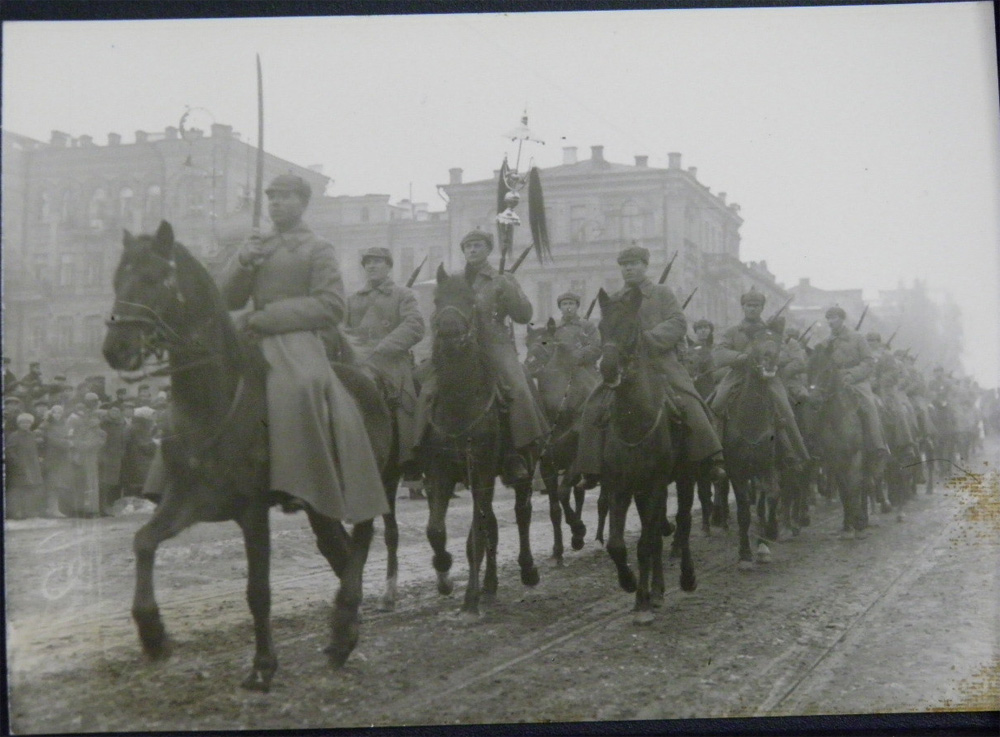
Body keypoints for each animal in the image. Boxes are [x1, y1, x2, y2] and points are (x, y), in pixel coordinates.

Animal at [101, 220, 396, 688]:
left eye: (152, 278)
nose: (115, 349)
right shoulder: (188, 499)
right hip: (320, 503)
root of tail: (367, 380)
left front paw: (262, 665)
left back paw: (344, 622)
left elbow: (258, 590)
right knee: (342, 550)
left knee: (362, 542)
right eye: (117, 280)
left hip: (363, 484)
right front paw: (152, 633)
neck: (213, 401)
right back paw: (344, 631)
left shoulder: (252, 510)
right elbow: (143, 541)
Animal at [418, 264, 540, 616]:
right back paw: (490, 585)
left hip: (526, 465)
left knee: (521, 513)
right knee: (494, 525)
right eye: (436, 299)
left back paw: (526, 570)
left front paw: (470, 597)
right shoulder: (441, 471)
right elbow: (436, 529)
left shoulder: (482, 470)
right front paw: (445, 572)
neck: (460, 403)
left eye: (471, 301)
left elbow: (478, 532)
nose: (447, 331)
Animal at [524, 318, 592, 564]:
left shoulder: (576, 461)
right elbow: (555, 507)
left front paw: (579, 529)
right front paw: (558, 549)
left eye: (546, 341)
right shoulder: (547, 467)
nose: (529, 364)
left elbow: (563, 494)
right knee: (579, 493)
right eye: (527, 343)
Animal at [592, 286, 696, 620]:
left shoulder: (654, 485)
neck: (634, 422)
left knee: (684, 521)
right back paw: (658, 589)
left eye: (630, 327)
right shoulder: (619, 487)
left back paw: (686, 576)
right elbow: (617, 544)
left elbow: (646, 543)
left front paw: (642, 603)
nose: (608, 368)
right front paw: (630, 583)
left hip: (685, 478)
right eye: (601, 328)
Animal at [720, 330, 788, 568]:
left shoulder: (767, 466)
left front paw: (766, 540)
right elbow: (743, 510)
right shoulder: (736, 471)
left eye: (776, 340)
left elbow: (772, 496)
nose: (771, 357)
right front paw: (744, 554)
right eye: (755, 341)